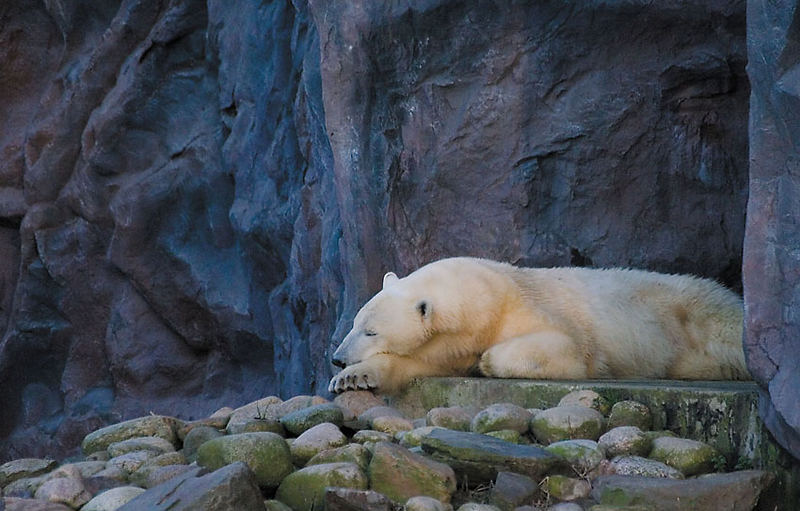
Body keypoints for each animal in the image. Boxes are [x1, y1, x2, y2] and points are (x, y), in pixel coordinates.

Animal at [326, 258, 752, 394]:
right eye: (355, 324)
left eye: (371, 331)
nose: (337, 358)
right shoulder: (447, 343)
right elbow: (420, 364)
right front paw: (352, 378)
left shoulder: (528, 309)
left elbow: (569, 350)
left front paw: (486, 361)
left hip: (698, 310)